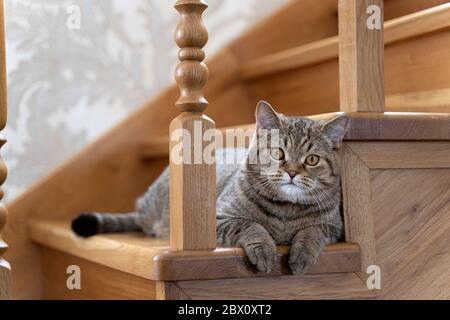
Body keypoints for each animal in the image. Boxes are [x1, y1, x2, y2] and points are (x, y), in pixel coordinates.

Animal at [72, 101, 350, 274]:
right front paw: (264, 248)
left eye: (311, 160)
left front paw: (303, 254)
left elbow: (312, 231)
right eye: (278, 152)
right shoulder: (218, 218)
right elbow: (251, 225)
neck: (284, 212)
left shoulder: (334, 227)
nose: (292, 172)